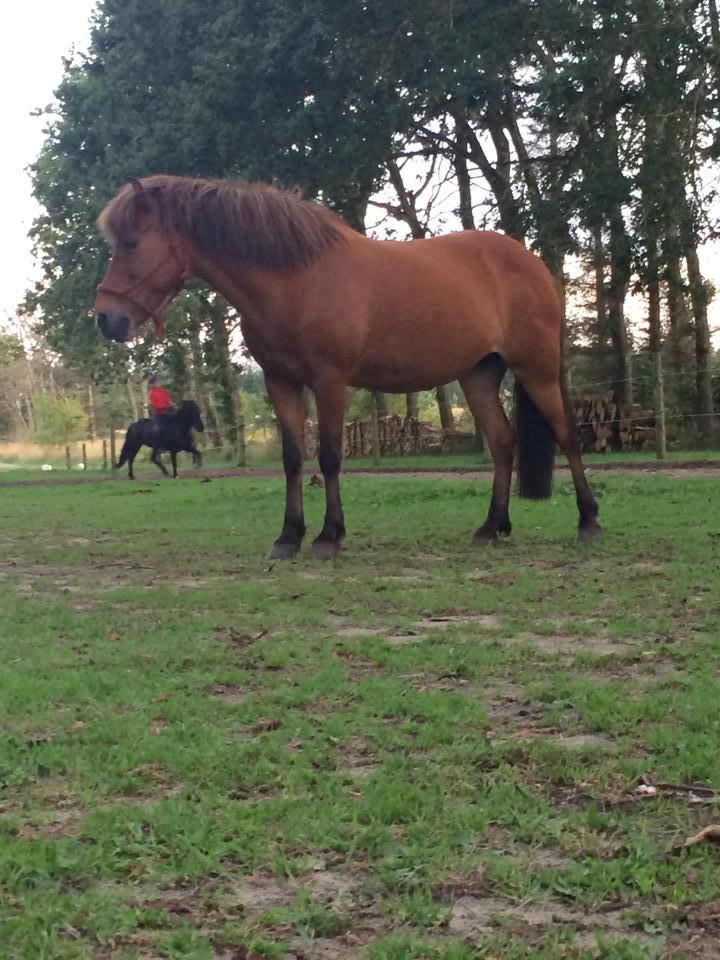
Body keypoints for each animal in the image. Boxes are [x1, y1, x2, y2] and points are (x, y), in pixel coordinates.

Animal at [95, 176, 600, 560]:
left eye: (131, 243)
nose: (105, 319)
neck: (293, 279)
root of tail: (532, 263)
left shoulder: (330, 381)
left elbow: (330, 456)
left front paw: (327, 536)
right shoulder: (282, 383)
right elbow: (293, 458)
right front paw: (288, 536)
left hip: (537, 369)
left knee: (567, 436)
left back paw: (588, 519)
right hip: (478, 375)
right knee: (501, 442)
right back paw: (491, 526)